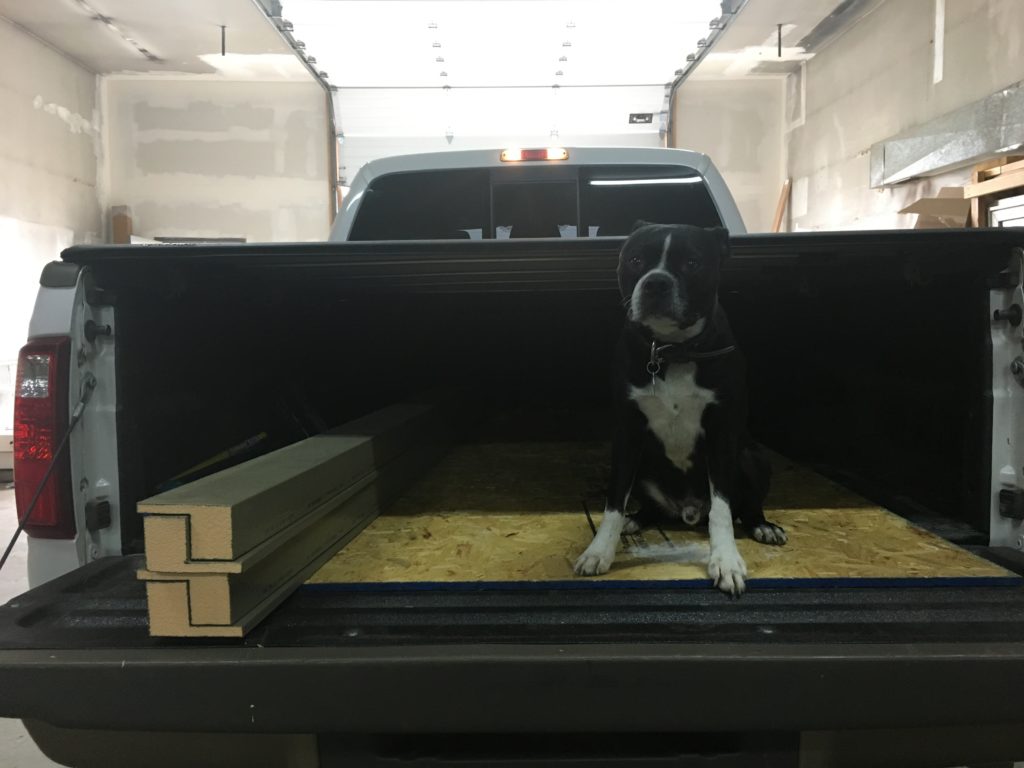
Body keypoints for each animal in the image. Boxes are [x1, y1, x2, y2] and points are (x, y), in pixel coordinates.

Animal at [577, 222, 782, 593]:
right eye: (636, 260)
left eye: (692, 262)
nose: (656, 282)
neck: (672, 351)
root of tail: (687, 511)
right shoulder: (627, 434)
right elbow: (614, 501)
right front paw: (599, 550)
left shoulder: (721, 434)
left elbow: (722, 509)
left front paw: (725, 560)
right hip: (644, 459)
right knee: (648, 507)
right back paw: (636, 520)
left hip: (752, 457)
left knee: (745, 506)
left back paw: (763, 526)